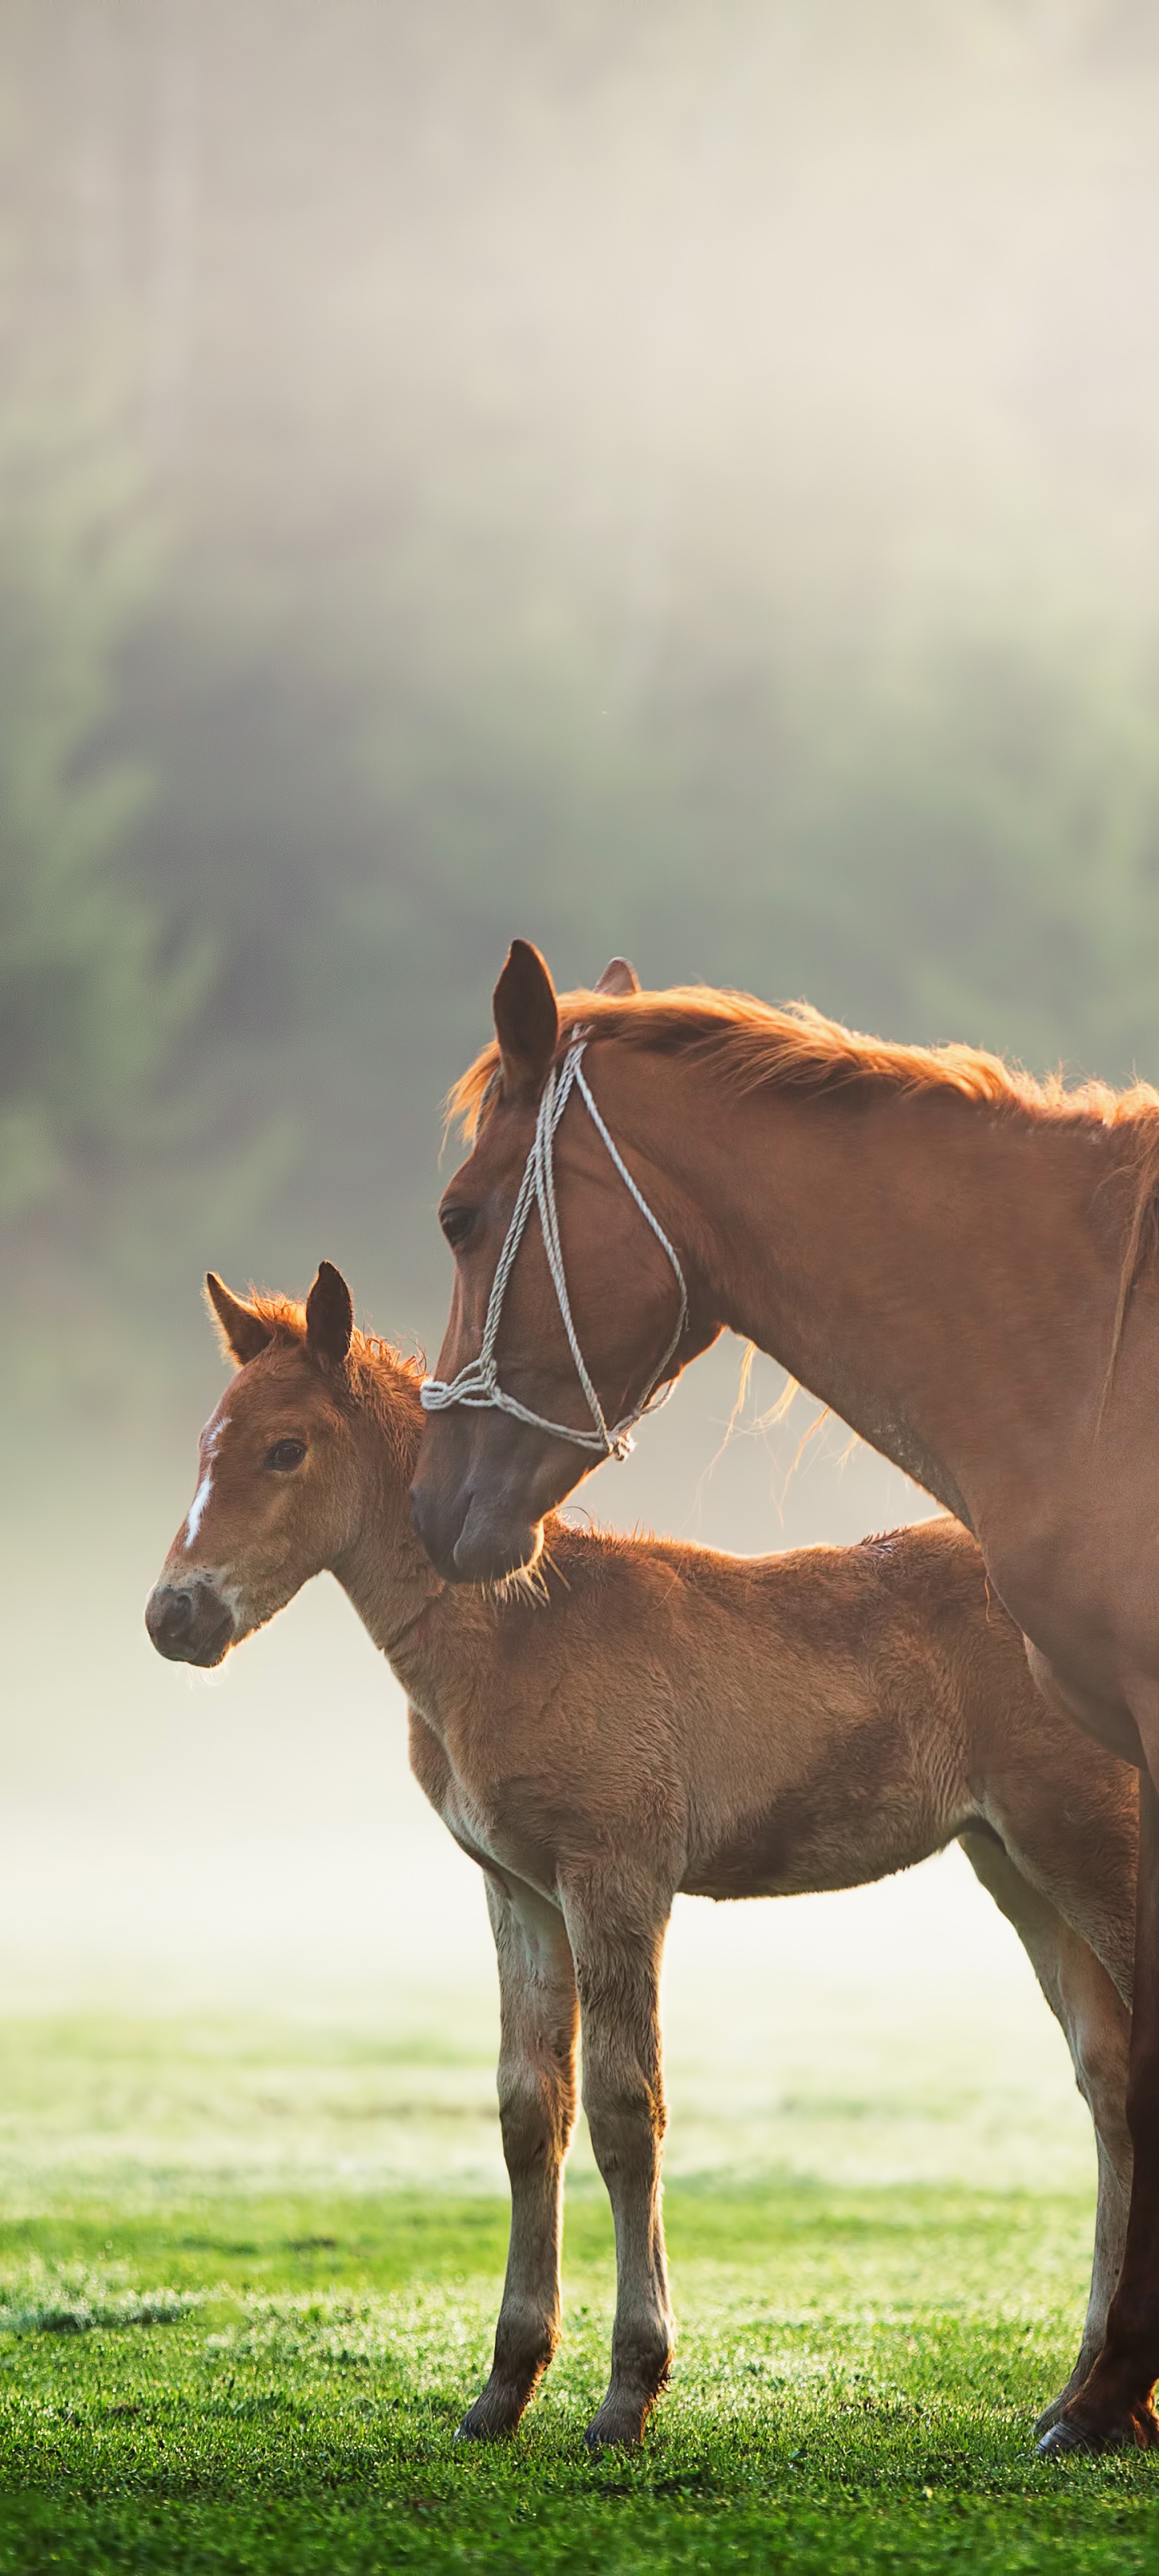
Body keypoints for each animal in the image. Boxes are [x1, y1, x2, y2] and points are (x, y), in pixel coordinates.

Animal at [146, 1261, 1137, 2451]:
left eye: (285, 1448)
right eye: (209, 1443)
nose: (175, 1616)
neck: (516, 1635)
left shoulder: (616, 1876)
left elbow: (628, 2109)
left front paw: (629, 2388)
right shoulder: (518, 1891)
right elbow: (530, 2109)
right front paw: (504, 2386)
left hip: (1083, 1838)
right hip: (1017, 1865)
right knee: (1111, 2077)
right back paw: (1085, 2393)